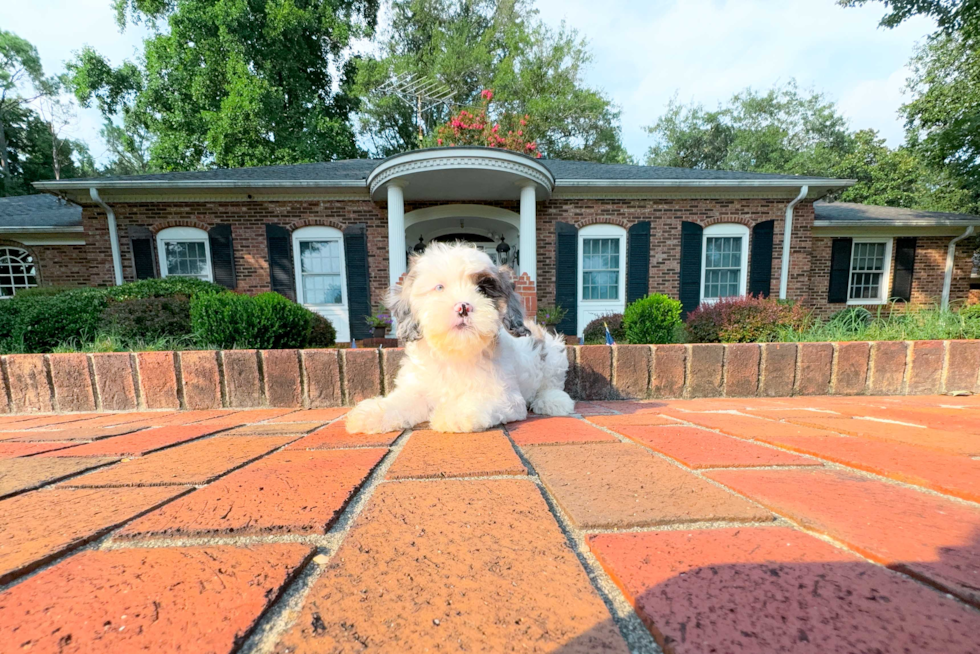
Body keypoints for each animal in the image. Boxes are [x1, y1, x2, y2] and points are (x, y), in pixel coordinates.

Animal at [344, 242, 576, 436]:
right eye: (439, 287)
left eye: (483, 289)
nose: (463, 307)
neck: (454, 353)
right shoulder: (417, 388)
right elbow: (401, 402)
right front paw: (373, 413)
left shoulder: (506, 396)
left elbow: (482, 400)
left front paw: (456, 412)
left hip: (553, 354)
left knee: (551, 383)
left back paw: (553, 401)